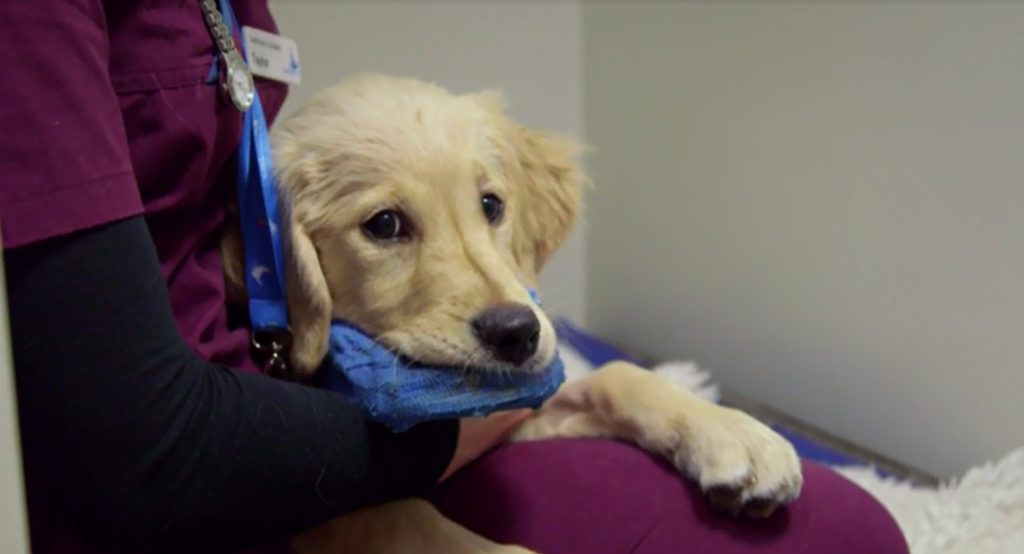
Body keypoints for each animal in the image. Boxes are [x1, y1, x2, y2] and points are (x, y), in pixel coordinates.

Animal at [222, 73, 798, 552]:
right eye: (384, 225)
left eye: (491, 205)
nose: (518, 333)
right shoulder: (327, 518)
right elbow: (415, 519)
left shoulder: (510, 411)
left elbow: (617, 374)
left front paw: (736, 436)